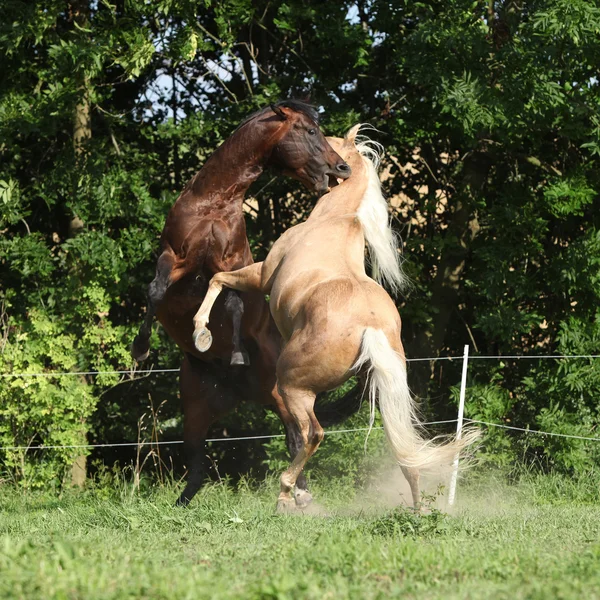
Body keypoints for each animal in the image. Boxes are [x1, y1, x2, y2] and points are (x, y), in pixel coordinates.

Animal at [131, 101, 352, 504]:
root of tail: (242, 394)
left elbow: (232, 303)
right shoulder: (175, 257)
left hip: (283, 397)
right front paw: (140, 348)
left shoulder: (228, 264)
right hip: (196, 409)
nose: (341, 167)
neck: (214, 203)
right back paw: (182, 504)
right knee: (197, 463)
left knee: (297, 438)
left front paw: (233, 352)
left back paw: (300, 495)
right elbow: (155, 290)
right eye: (310, 131)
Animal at [190, 124, 480, 508]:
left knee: (312, 433)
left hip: (293, 385)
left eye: (323, 138)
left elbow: (218, 279)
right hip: (382, 391)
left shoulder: (262, 275)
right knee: (402, 447)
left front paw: (201, 333)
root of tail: (371, 327)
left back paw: (288, 494)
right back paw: (418, 509)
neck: (333, 219)